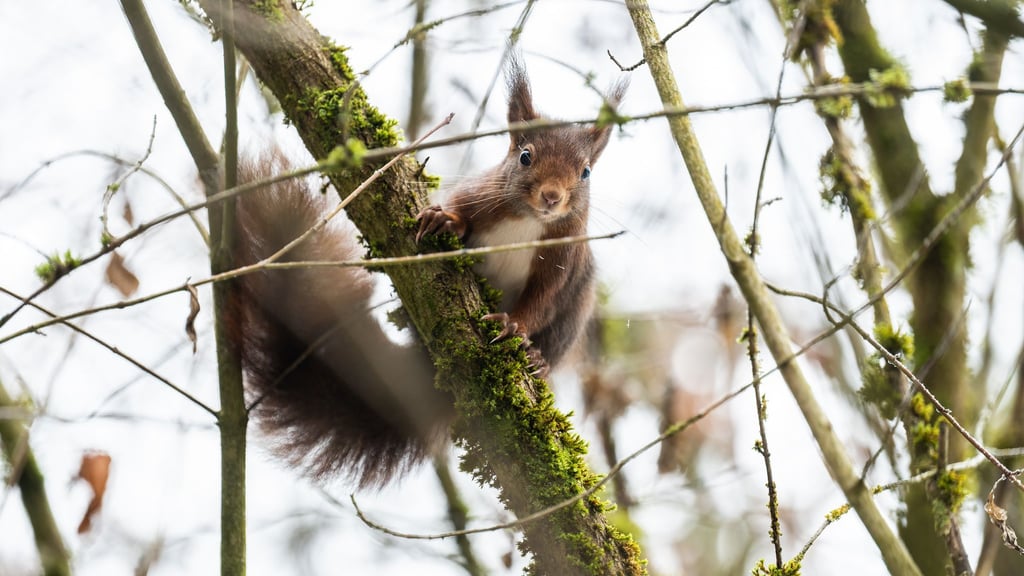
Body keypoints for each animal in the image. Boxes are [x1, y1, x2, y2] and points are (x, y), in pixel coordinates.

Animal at [228, 60, 625, 488]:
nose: (552, 197)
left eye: (585, 173)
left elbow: (541, 301)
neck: (530, 221)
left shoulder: (562, 261)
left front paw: (513, 327)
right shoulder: (479, 196)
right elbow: (461, 211)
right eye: (524, 156)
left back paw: (537, 361)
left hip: (575, 311)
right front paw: (443, 219)